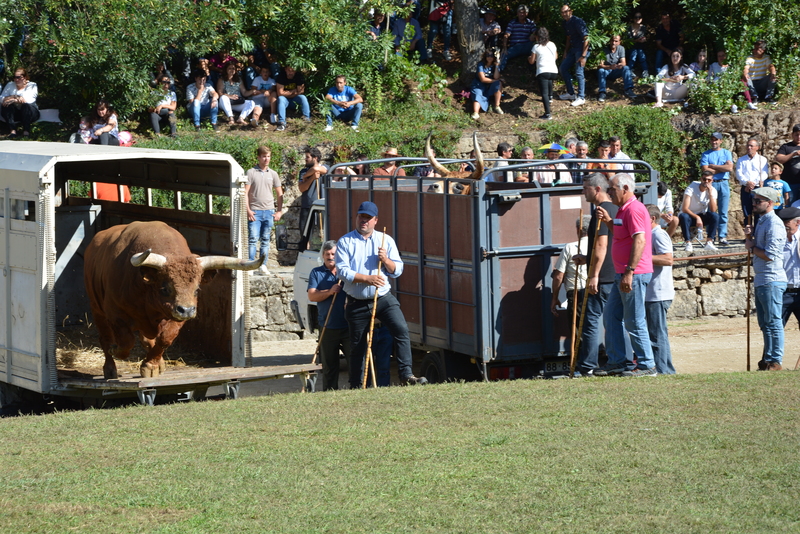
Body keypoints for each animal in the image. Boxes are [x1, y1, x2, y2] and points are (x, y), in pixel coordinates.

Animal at [84, 222, 260, 382]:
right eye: (165, 288)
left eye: (196, 289)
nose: (187, 310)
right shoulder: (115, 314)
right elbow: (126, 342)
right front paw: (115, 350)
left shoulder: (176, 317)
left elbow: (164, 338)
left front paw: (151, 366)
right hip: (97, 309)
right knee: (105, 338)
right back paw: (110, 369)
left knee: (147, 340)